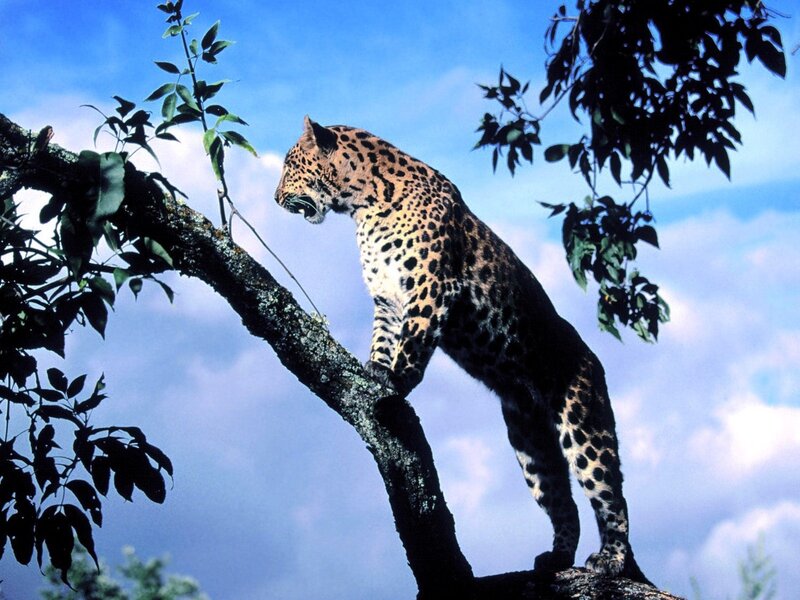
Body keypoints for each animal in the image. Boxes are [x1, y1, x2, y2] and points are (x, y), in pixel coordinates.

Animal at [274, 116, 649, 583]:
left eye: (290, 165)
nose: (275, 198)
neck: (363, 204)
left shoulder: (432, 286)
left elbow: (413, 343)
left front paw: (396, 383)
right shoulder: (387, 299)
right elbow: (383, 340)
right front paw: (374, 369)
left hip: (584, 425)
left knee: (611, 496)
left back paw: (611, 560)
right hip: (530, 446)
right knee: (564, 504)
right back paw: (557, 558)